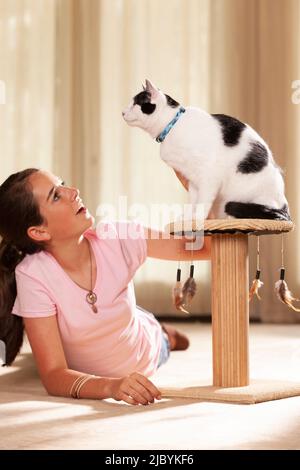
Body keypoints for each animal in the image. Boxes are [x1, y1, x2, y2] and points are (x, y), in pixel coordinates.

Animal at [122, 79, 290, 220]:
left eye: (135, 104)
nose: (122, 112)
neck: (173, 125)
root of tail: (284, 205)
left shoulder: (209, 176)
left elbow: (203, 202)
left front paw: (198, 220)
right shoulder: (193, 180)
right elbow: (192, 201)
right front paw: (187, 219)